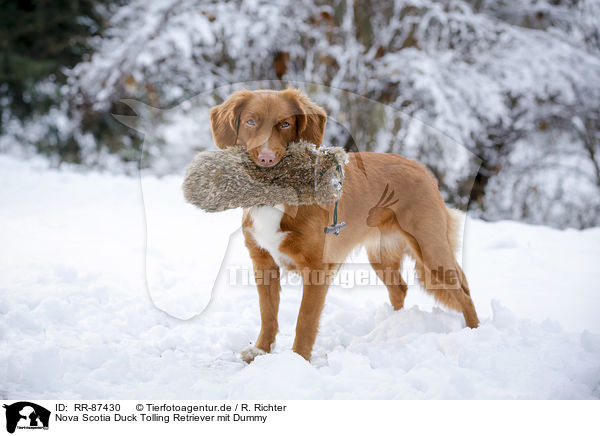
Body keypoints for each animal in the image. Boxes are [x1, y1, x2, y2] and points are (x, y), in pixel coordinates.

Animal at [209, 87, 480, 362]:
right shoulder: (263, 262)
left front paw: (298, 360)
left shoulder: (317, 269)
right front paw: (261, 350)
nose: (266, 158)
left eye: (285, 124)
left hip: (431, 251)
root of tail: (422, 168)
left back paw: (474, 332)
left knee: (464, 293)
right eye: (250, 122)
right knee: (400, 289)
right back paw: (392, 325)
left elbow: (304, 321)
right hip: (381, 257)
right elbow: (268, 313)